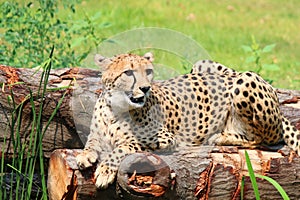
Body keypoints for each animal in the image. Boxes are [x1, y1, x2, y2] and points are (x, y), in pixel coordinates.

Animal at [77, 52, 300, 188]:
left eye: (148, 71)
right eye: (128, 72)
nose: (145, 88)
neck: (115, 109)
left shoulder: (167, 139)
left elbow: (124, 145)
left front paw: (106, 170)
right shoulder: (97, 133)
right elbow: (92, 141)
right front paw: (85, 155)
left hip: (244, 80)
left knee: (261, 139)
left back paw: (221, 137)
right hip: (202, 65)